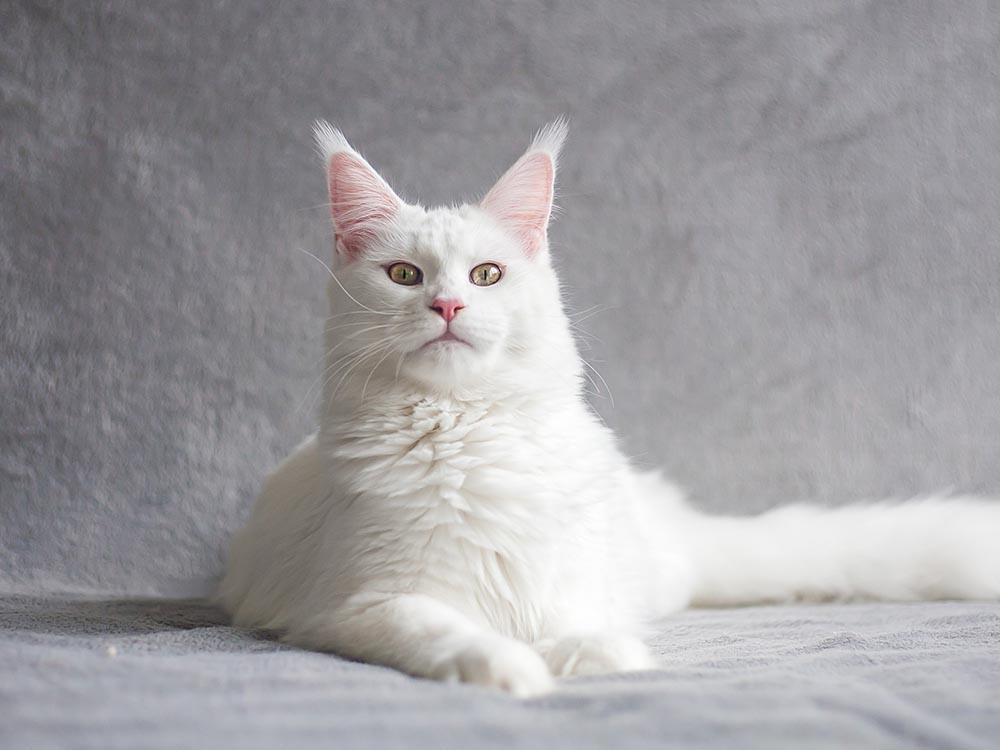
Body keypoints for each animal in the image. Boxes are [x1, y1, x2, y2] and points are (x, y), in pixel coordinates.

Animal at [221, 120, 1000, 696]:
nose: (447, 306)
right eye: (405, 275)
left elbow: (572, 620)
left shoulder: (563, 576)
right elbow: (449, 632)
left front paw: (590, 655)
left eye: (486, 275)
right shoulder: (362, 603)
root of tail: (669, 523)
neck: (468, 427)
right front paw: (507, 668)